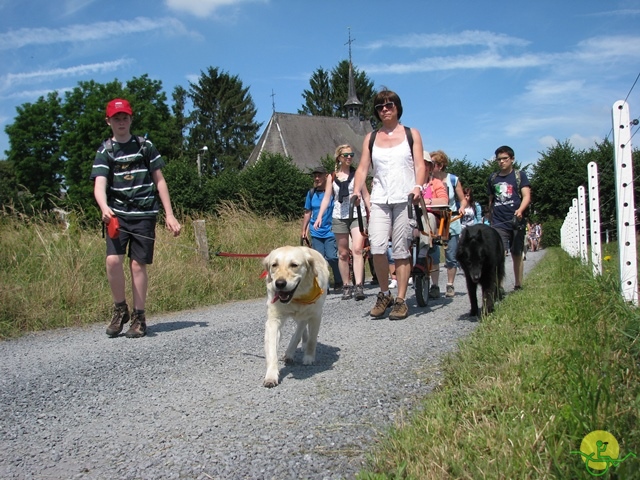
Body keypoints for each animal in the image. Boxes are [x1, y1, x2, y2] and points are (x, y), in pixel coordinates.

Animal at [262, 246, 330, 388]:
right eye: (274, 265)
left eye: (294, 265)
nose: (279, 283)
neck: (296, 298)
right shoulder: (273, 320)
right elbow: (272, 350)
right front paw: (271, 375)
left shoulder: (315, 315)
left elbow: (312, 340)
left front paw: (309, 357)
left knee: (300, 330)